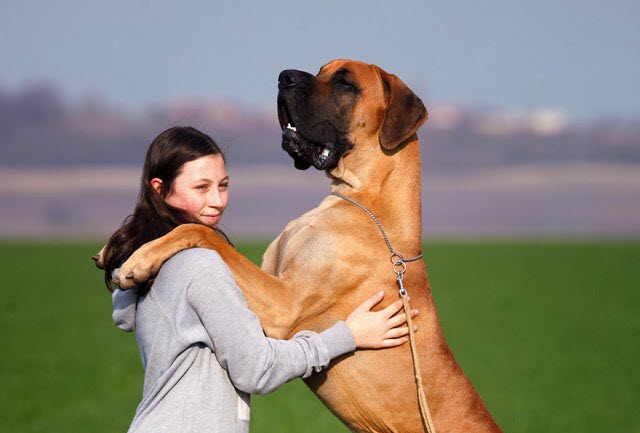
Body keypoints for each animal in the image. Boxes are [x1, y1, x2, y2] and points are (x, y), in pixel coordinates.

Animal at [112, 60, 502, 432]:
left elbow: (200, 230)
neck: (362, 201)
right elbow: (211, 237)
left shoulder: (283, 306)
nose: (285, 76)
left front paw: (138, 259)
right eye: (320, 70)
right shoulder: (268, 278)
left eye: (345, 82)